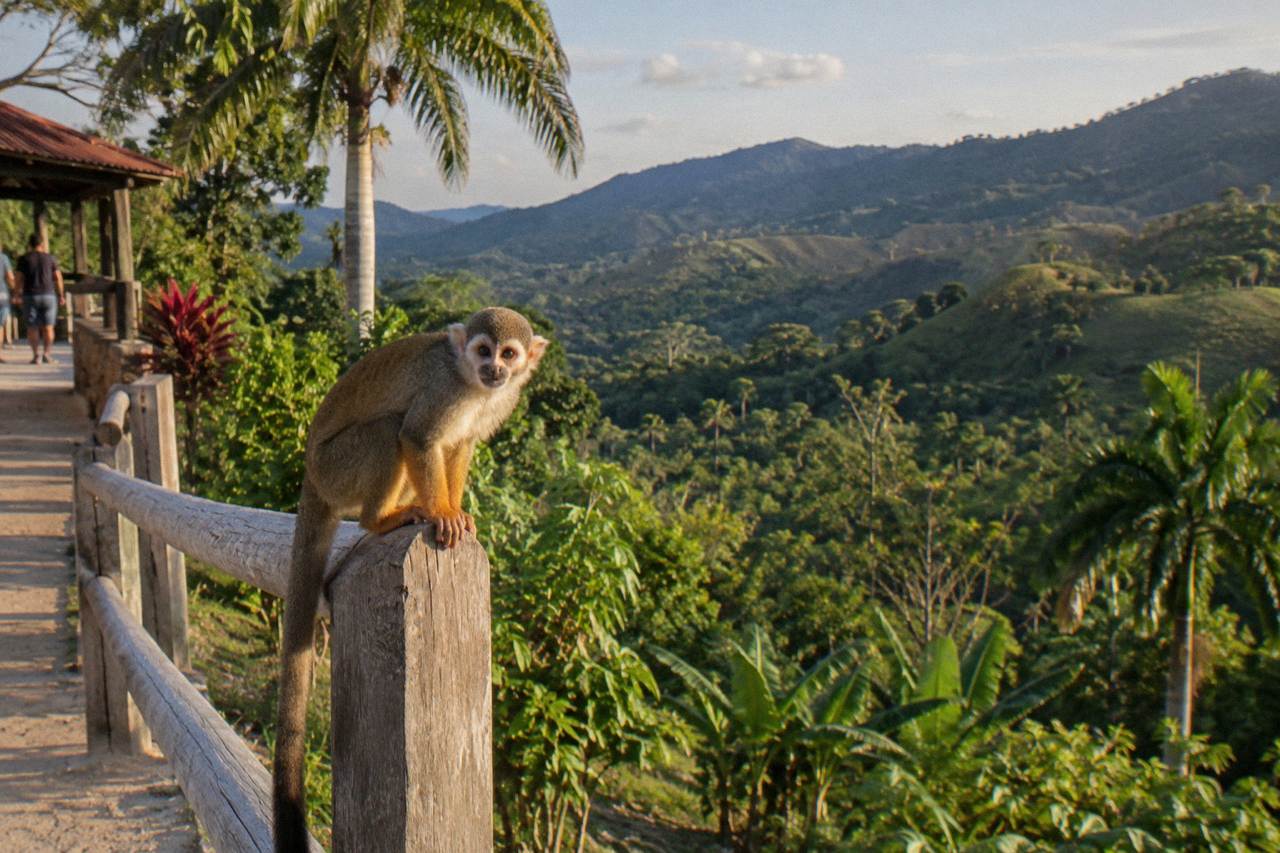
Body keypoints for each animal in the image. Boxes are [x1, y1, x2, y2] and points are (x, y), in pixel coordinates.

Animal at [272, 307, 547, 852]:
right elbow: (419, 438)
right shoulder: (443, 388)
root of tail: (311, 475)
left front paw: (457, 511)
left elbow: (458, 444)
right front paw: (442, 513)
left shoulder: (496, 402)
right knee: (388, 429)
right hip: (338, 468)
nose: (495, 370)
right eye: (483, 350)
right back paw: (382, 519)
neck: (471, 384)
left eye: (509, 354)